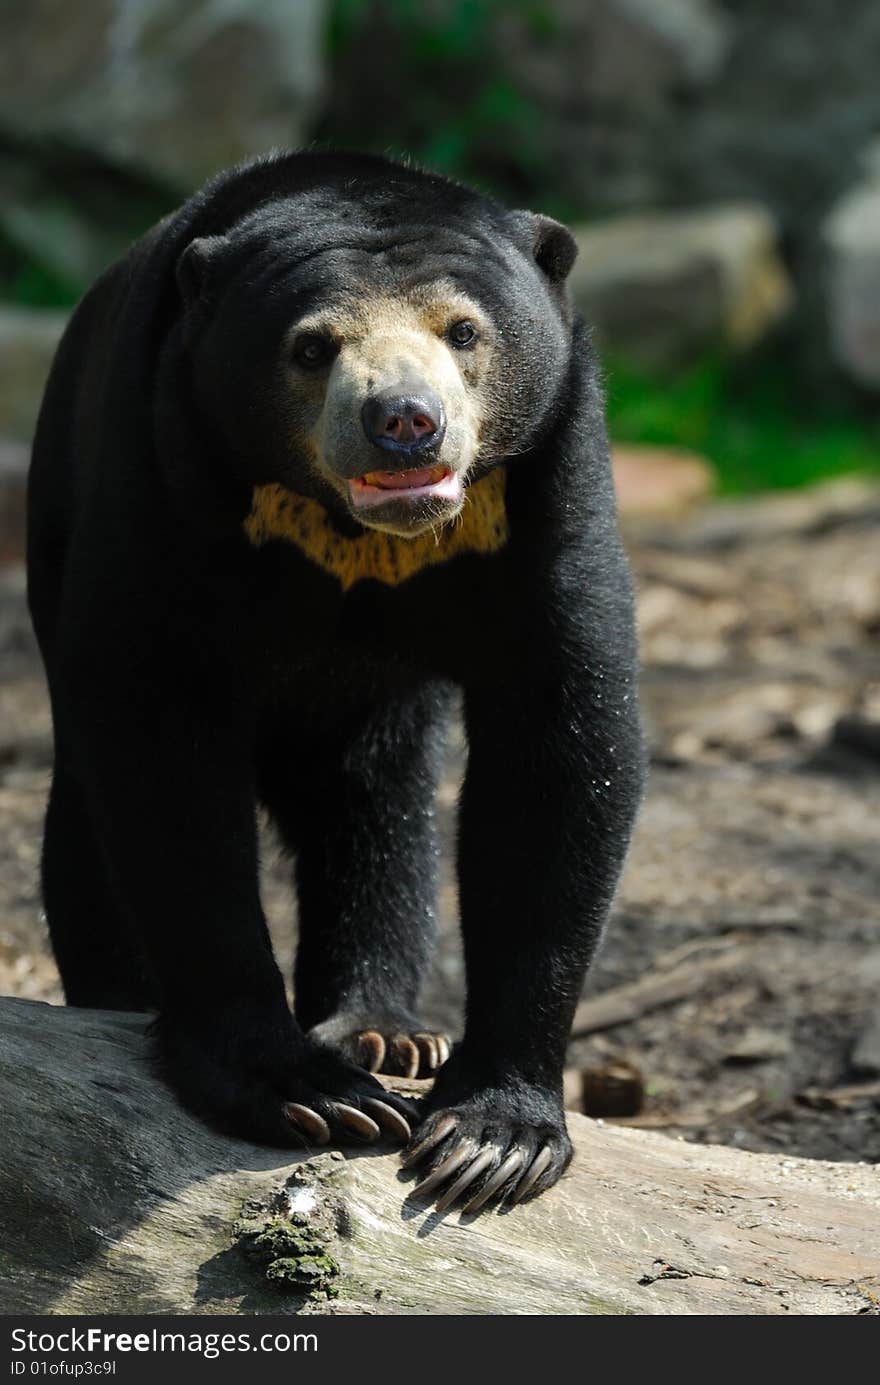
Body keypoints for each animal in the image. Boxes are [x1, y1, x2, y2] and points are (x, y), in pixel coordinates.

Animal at [27, 154, 643, 1213]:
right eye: (311, 347)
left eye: (464, 330)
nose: (404, 424)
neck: (355, 534)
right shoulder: (159, 468)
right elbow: (158, 741)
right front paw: (306, 1092)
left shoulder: (548, 490)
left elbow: (560, 748)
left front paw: (490, 1139)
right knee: (85, 820)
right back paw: (125, 998)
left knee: (374, 801)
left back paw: (384, 1028)